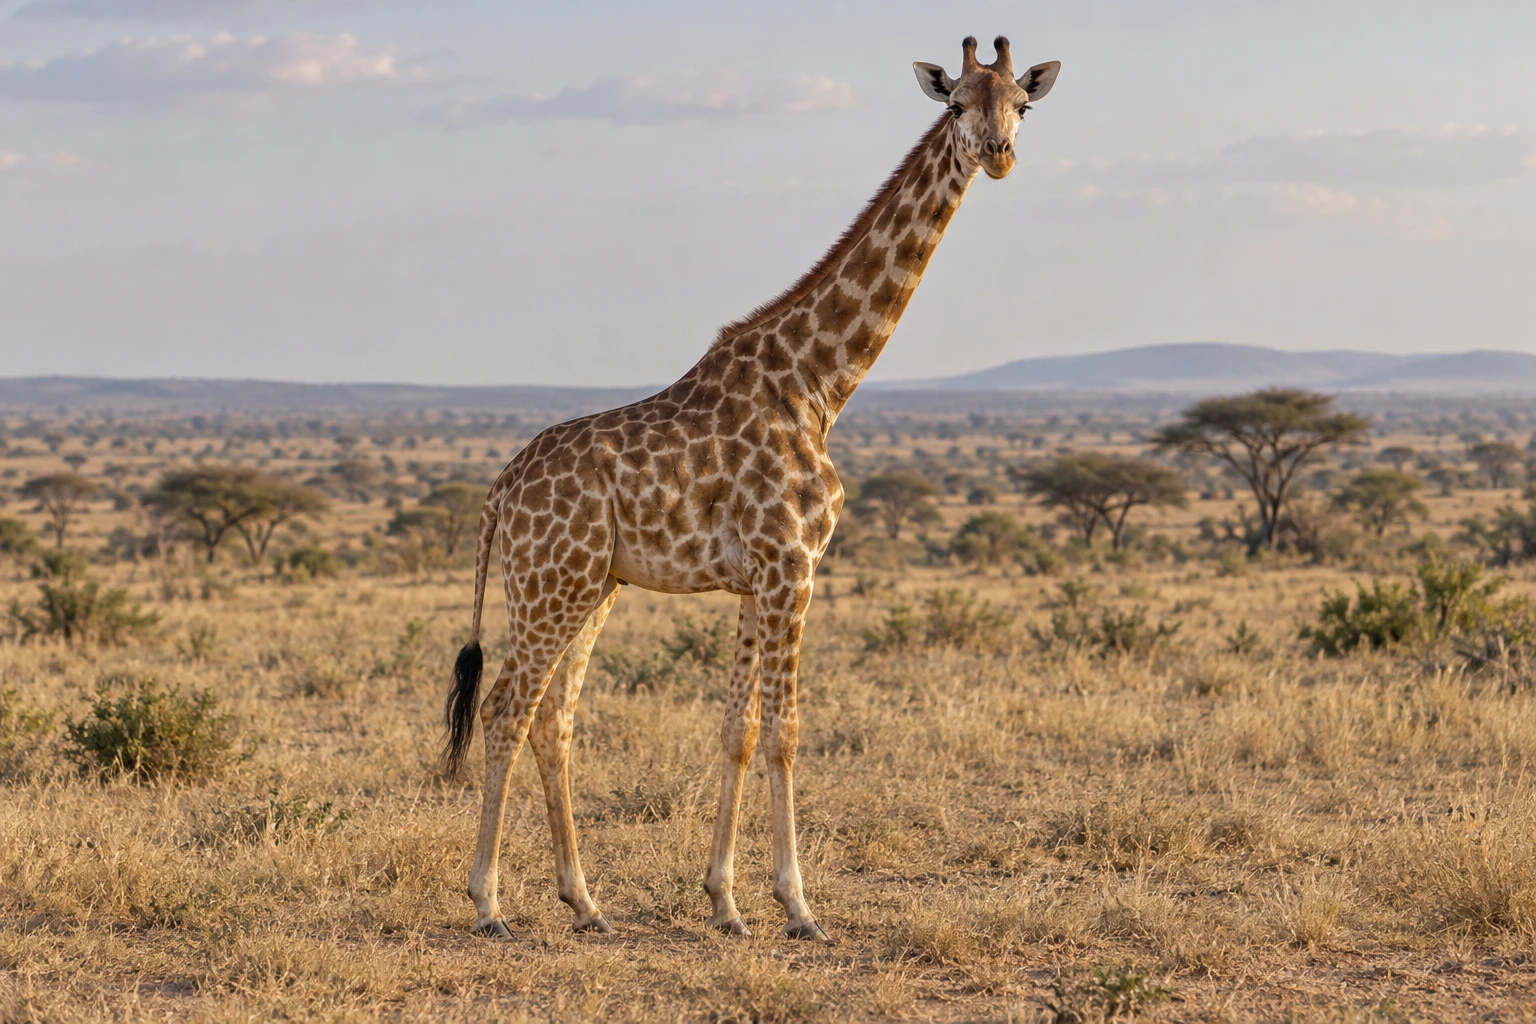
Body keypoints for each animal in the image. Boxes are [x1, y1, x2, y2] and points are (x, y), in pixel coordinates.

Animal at [442, 35, 1061, 941]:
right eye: (954, 105)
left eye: (1022, 105)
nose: (999, 155)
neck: (819, 384)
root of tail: (499, 490)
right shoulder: (792, 566)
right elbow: (787, 731)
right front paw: (798, 904)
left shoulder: (752, 580)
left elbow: (736, 727)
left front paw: (725, 901)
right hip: (551, 585)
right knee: (506, 709)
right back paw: (488, 902)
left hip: (592, 587)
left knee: (553, 719)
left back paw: (585, 901)